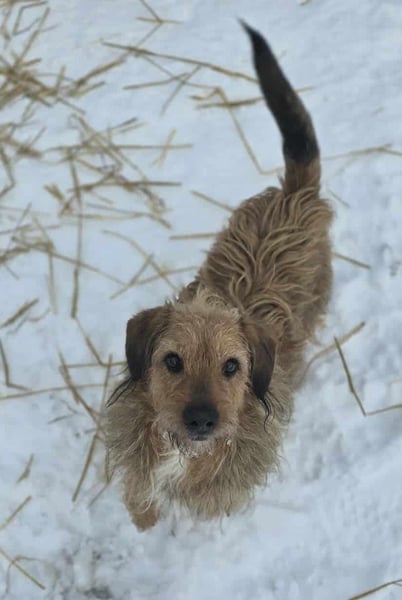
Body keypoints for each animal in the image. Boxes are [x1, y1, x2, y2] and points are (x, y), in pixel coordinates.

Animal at [105, 23, 333, 531]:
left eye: (233, 367)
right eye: (172, 361)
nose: (202, 421)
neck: (183, 452)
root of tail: (295, 193)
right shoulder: (141, 472)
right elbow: (139, 501)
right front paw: (143, 528)